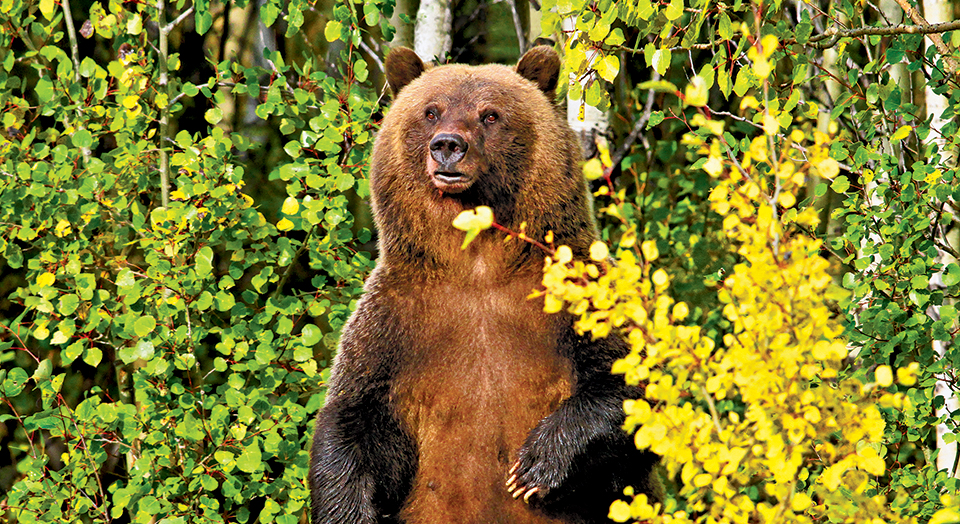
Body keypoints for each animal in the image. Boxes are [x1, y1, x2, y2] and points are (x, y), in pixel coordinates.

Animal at [312, 46, 656, 524]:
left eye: (490, 114)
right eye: (431, 111)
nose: (447, 146)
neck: (478, 265)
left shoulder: (576, 298)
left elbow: (632, 383)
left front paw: (536, 465)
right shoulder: (397, 322)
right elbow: (356, 419)